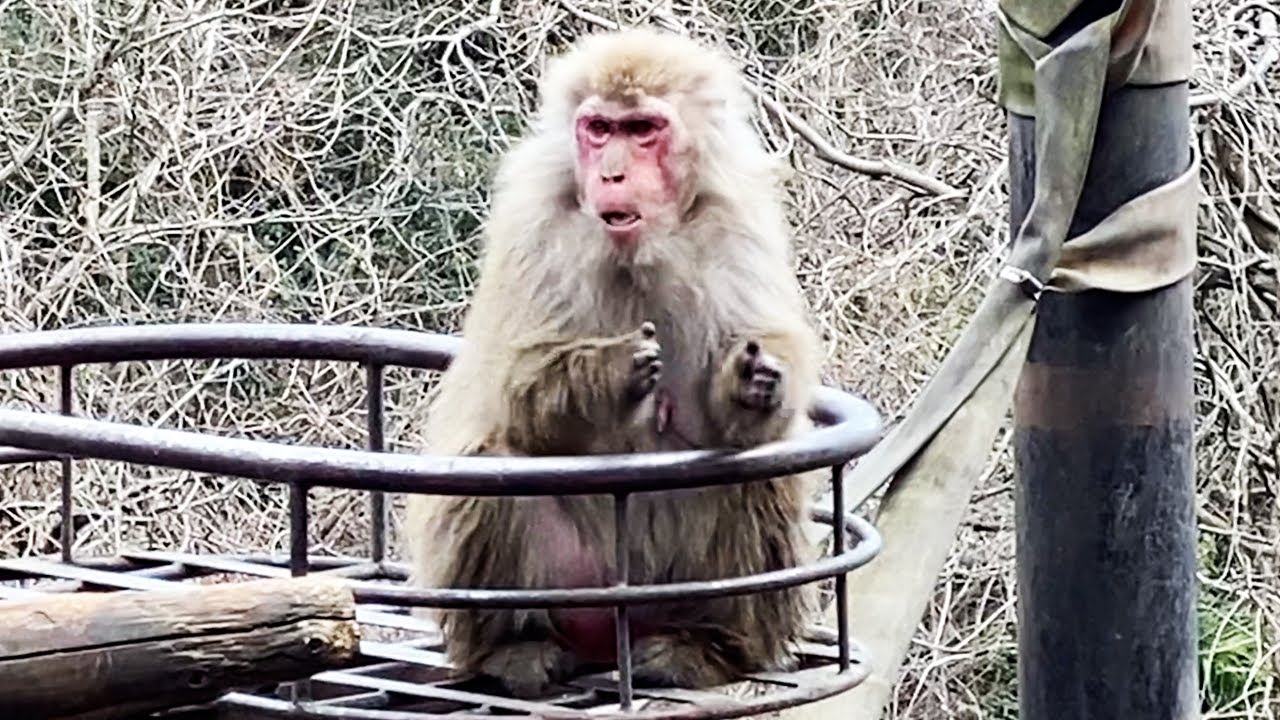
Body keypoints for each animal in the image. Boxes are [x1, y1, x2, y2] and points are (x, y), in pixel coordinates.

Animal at [403, 27, 826, 700]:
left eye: (643, 129)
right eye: (600, 129)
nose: (612, 172)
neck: (641, 248)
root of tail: (613, 633)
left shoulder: (738, 217)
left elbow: (757, 392)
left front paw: (752, 381)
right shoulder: (534, 220)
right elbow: (516, 389)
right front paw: (609, 372)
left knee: (757, 470)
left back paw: (707, 647)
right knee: (493, 464)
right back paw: (512, 649)